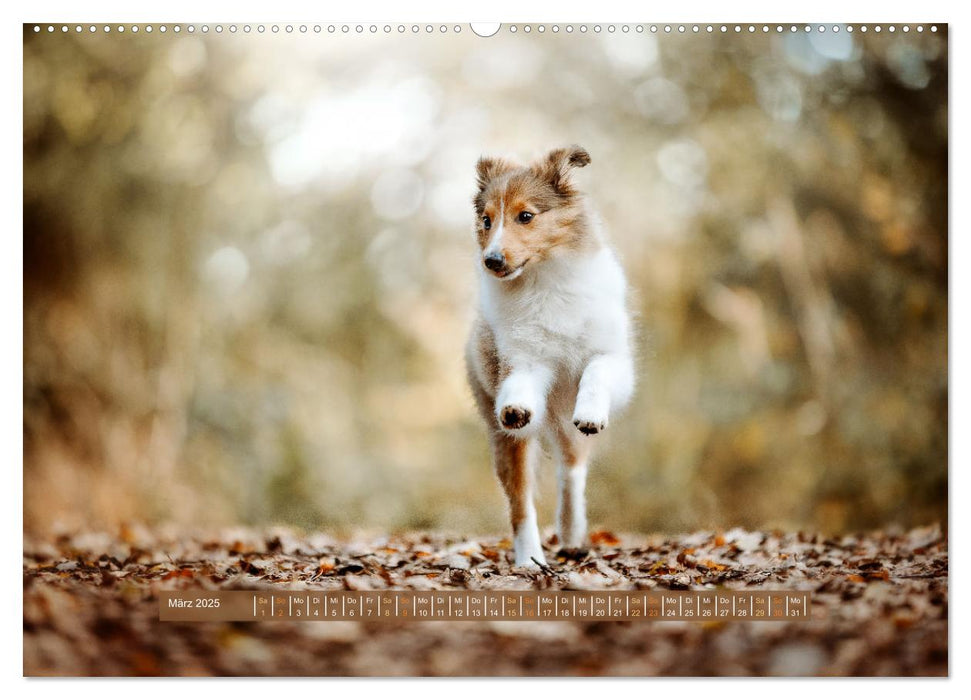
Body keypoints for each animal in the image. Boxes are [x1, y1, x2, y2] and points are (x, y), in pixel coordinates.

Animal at [466, 145, 636, 568]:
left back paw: (573, 534)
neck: (545, 283)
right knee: (521, 503)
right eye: (486, 220)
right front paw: (516, 406)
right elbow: (519, 382)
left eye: (526, 216)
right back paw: (529, 558)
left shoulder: (614, 358)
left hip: (567, 434)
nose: (492, 261)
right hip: (507, 441)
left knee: (571, 474)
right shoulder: (524, 357)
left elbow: (596, 371)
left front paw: (591, 411)